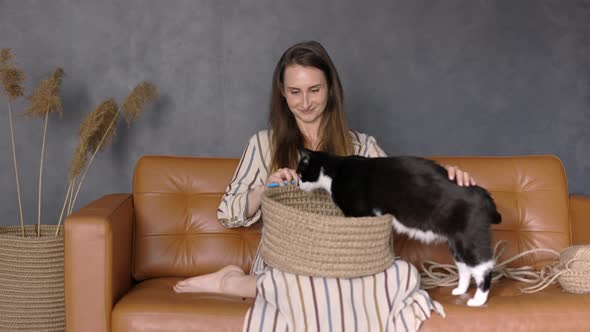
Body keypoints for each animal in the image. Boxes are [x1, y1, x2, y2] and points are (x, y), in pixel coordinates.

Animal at [298, 149, 502, 308]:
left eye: (300, 173)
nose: (297, 185)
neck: (335, 170)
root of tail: (484, 194)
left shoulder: (359, 213)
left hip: (470, 238)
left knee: (484, 267)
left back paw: (478, 300)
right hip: (456, 242)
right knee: (465, 267)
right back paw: (460, 290)